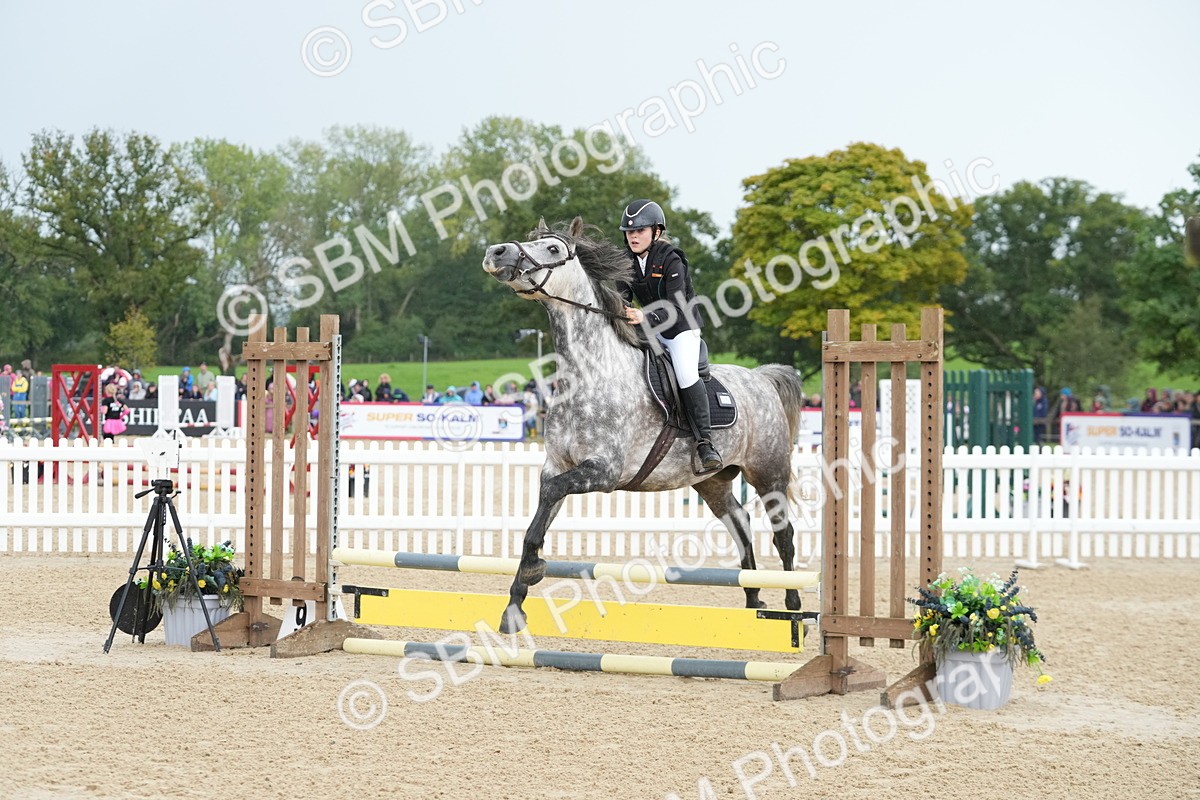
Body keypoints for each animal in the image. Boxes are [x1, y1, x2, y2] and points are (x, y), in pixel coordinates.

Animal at [482, 217, 806, 633]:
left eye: (553, 249)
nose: (497, 253)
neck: (589, 372)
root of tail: (762, 378)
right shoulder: (557, 466)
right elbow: (539, 515)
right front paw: (515, 603)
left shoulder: (604, 472)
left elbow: (552, 494)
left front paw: (534, 571)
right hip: (711, 482)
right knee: (740, 523)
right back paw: (752, 603)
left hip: (768, 473)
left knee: (784, 535)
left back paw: (793, 607)